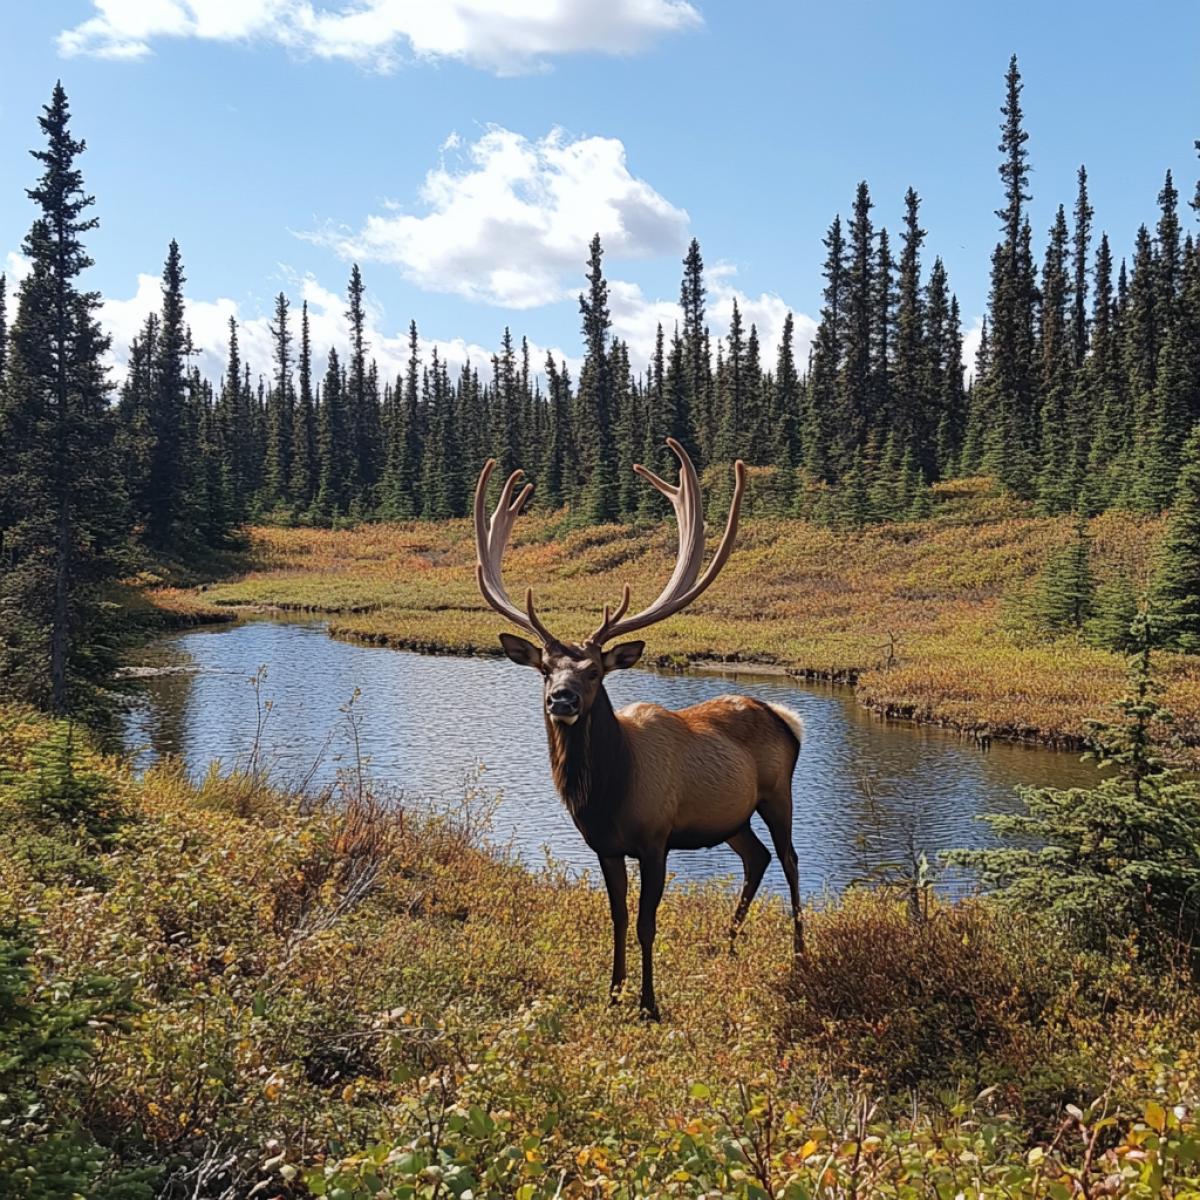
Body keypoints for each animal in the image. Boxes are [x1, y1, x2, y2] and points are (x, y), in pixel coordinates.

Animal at [474, 438, 804, 1020]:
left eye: (593, 672)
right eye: (545, 669)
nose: (561, 699)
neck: (607, 793)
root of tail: (784, 717)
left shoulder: (655, 839)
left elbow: (648, 923)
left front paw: (649, 1004)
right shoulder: (604, 846)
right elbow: (619, 919)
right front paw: (612, 995)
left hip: (777, 793)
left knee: (790, 861)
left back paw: (800, 955)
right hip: (731, 818)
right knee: (757, 858)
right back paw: (728, 944)